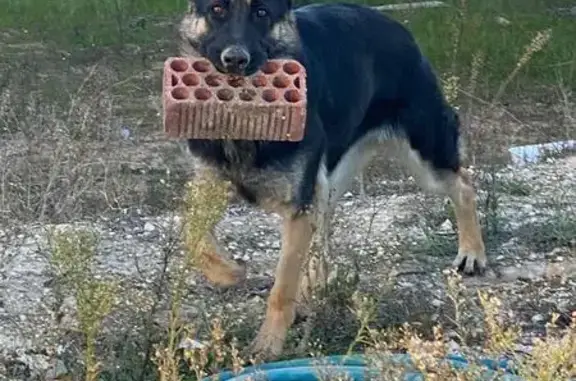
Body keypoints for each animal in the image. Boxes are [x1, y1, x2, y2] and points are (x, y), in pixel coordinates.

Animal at [176, 0, 486, 358]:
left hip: (423, 157)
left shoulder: (299, 205)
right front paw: (227, 272)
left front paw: (268, 344)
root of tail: (395, 26)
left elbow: (282, 288)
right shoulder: (209, 185)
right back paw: (312, 288)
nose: (235, 59)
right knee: (321, 235)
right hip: (329, 183)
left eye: (262, 13)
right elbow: (192, 235)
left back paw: (472, 252)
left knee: (463, 186)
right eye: (216, 10)